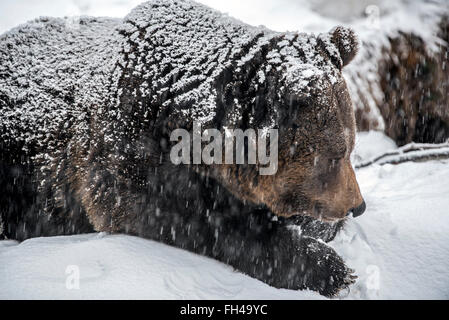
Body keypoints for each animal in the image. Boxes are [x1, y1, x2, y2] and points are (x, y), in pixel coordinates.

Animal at [0, 0, 364, 298]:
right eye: (334, 155)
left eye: (350, 147)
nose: (357, 206)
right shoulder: (127, 153)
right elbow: (190, 218)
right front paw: (330, 269)